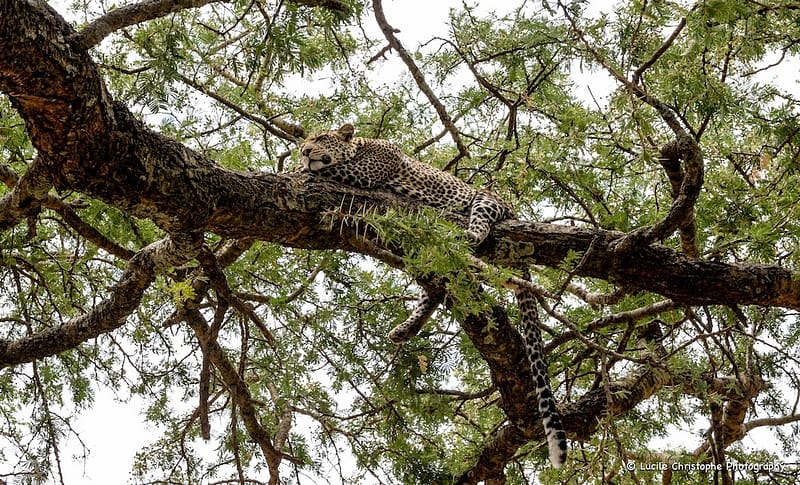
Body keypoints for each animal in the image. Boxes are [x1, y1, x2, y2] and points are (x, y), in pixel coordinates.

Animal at [300, 123, 567, 468]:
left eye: (320, 139)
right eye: (307, 139)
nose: (304, 150)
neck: (361, 145)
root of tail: (513, 209)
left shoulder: (365, 172)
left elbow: (329, 168)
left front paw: (300, 167)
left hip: (485, 200)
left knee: (477, 233)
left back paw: (464, 234)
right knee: (436, 291)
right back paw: (404, 330)